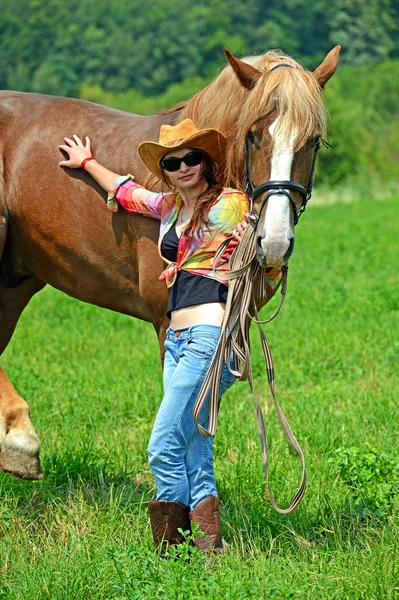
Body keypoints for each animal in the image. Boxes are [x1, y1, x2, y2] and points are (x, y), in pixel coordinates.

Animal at [0, 47, 340, 480]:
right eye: (253, 134)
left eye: (313, 142)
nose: (275, 241)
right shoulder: (169, 325)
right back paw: (21, 439)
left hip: (15, 282)